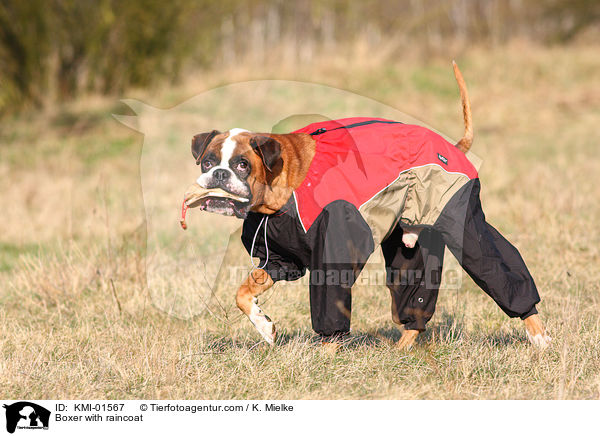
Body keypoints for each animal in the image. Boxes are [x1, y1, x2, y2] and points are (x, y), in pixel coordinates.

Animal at [182, 63, 548, 350]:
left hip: (464, 226)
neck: (282, 188)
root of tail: (453, 147)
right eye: (208, 161)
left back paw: (539, 336)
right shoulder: (279, 260)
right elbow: (243, 295)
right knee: (415, 299)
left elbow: (330, 311)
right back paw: (401, 350)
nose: (218, 174)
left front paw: (325, 356)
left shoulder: (334, 253)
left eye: (242, 165)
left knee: (501, 272)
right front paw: (264, 326)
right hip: (409, 246)